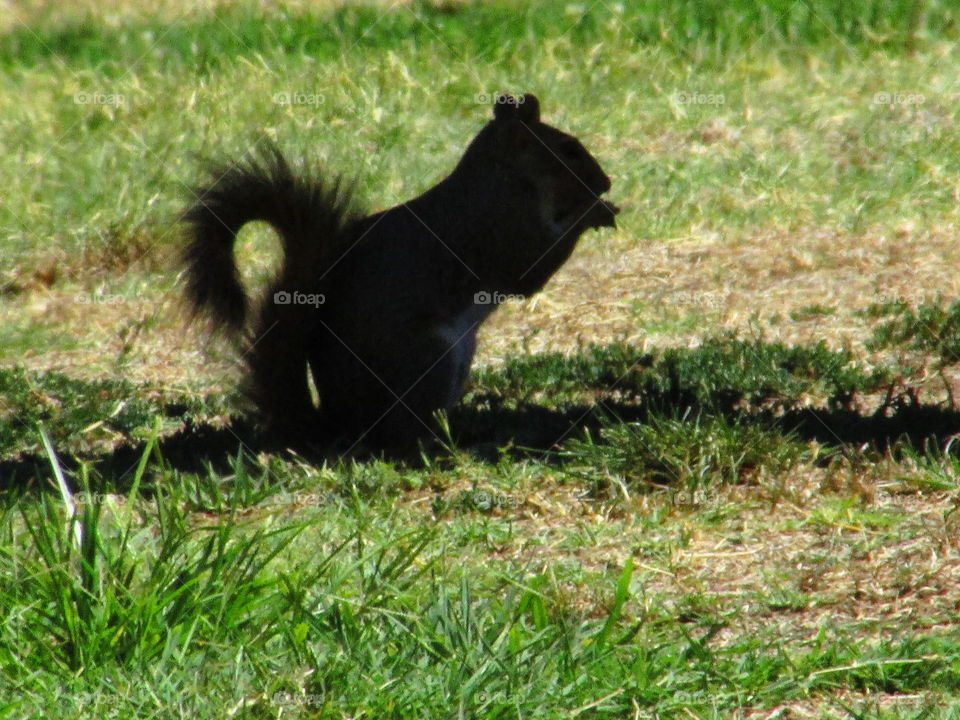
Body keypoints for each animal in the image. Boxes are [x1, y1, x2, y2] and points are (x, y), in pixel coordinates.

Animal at [181, 93, 619, 450]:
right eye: (569, 149)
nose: (607, 181)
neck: (504, 176)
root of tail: (342, 424)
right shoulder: (500, 227)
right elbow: (531, 268)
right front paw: (595, 212)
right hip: (429, 358)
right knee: (401, 436)